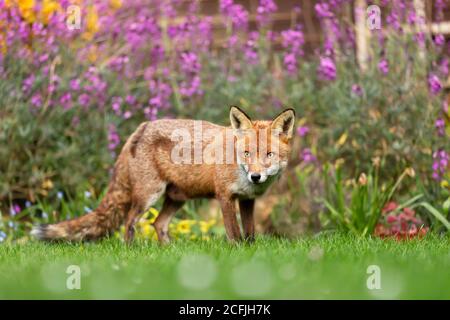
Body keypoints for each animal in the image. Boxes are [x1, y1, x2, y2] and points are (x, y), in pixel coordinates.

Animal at [31, 106, 296, 244]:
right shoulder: (225, 196)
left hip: (176, 199)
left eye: (269, 155)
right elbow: (234, 234)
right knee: (129, 222)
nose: (255, 177)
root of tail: (140, 128)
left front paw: (249, 252)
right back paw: (131, 251)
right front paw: (237, 252)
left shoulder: (248, 200)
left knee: (158, 224)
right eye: (247, 153)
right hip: (148, 195)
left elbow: (250, 234)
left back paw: (167, 251)